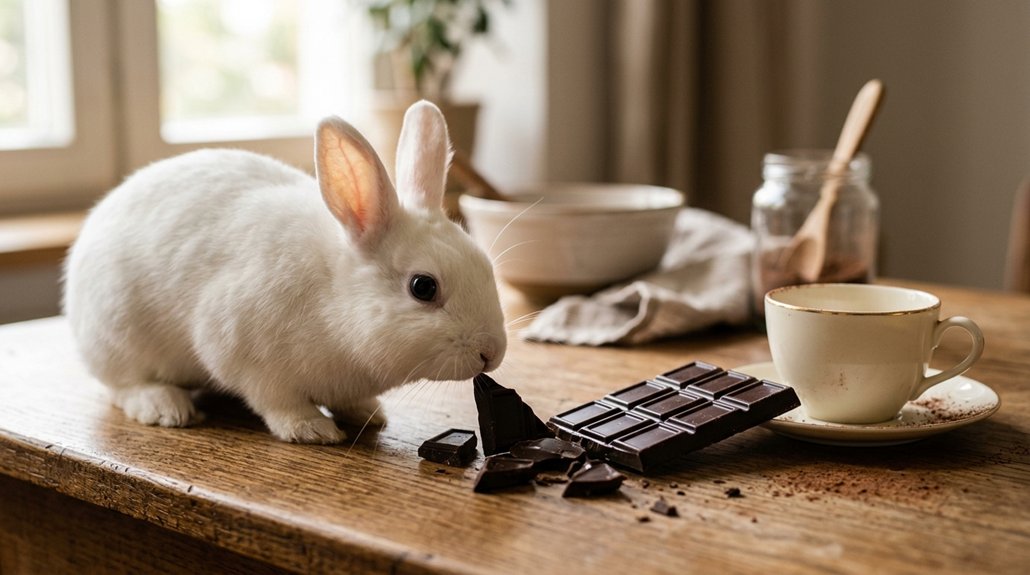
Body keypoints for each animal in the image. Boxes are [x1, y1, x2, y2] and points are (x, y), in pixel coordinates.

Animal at [63, 100, 507, 444]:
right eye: (423, 287)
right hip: (117, 337)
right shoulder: (241, 354)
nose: (493, 352)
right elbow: (277, 401)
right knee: (122, 386)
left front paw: (368, 413)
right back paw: (166, 407)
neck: (333, 297)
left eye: (486, 267)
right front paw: (312, 430)